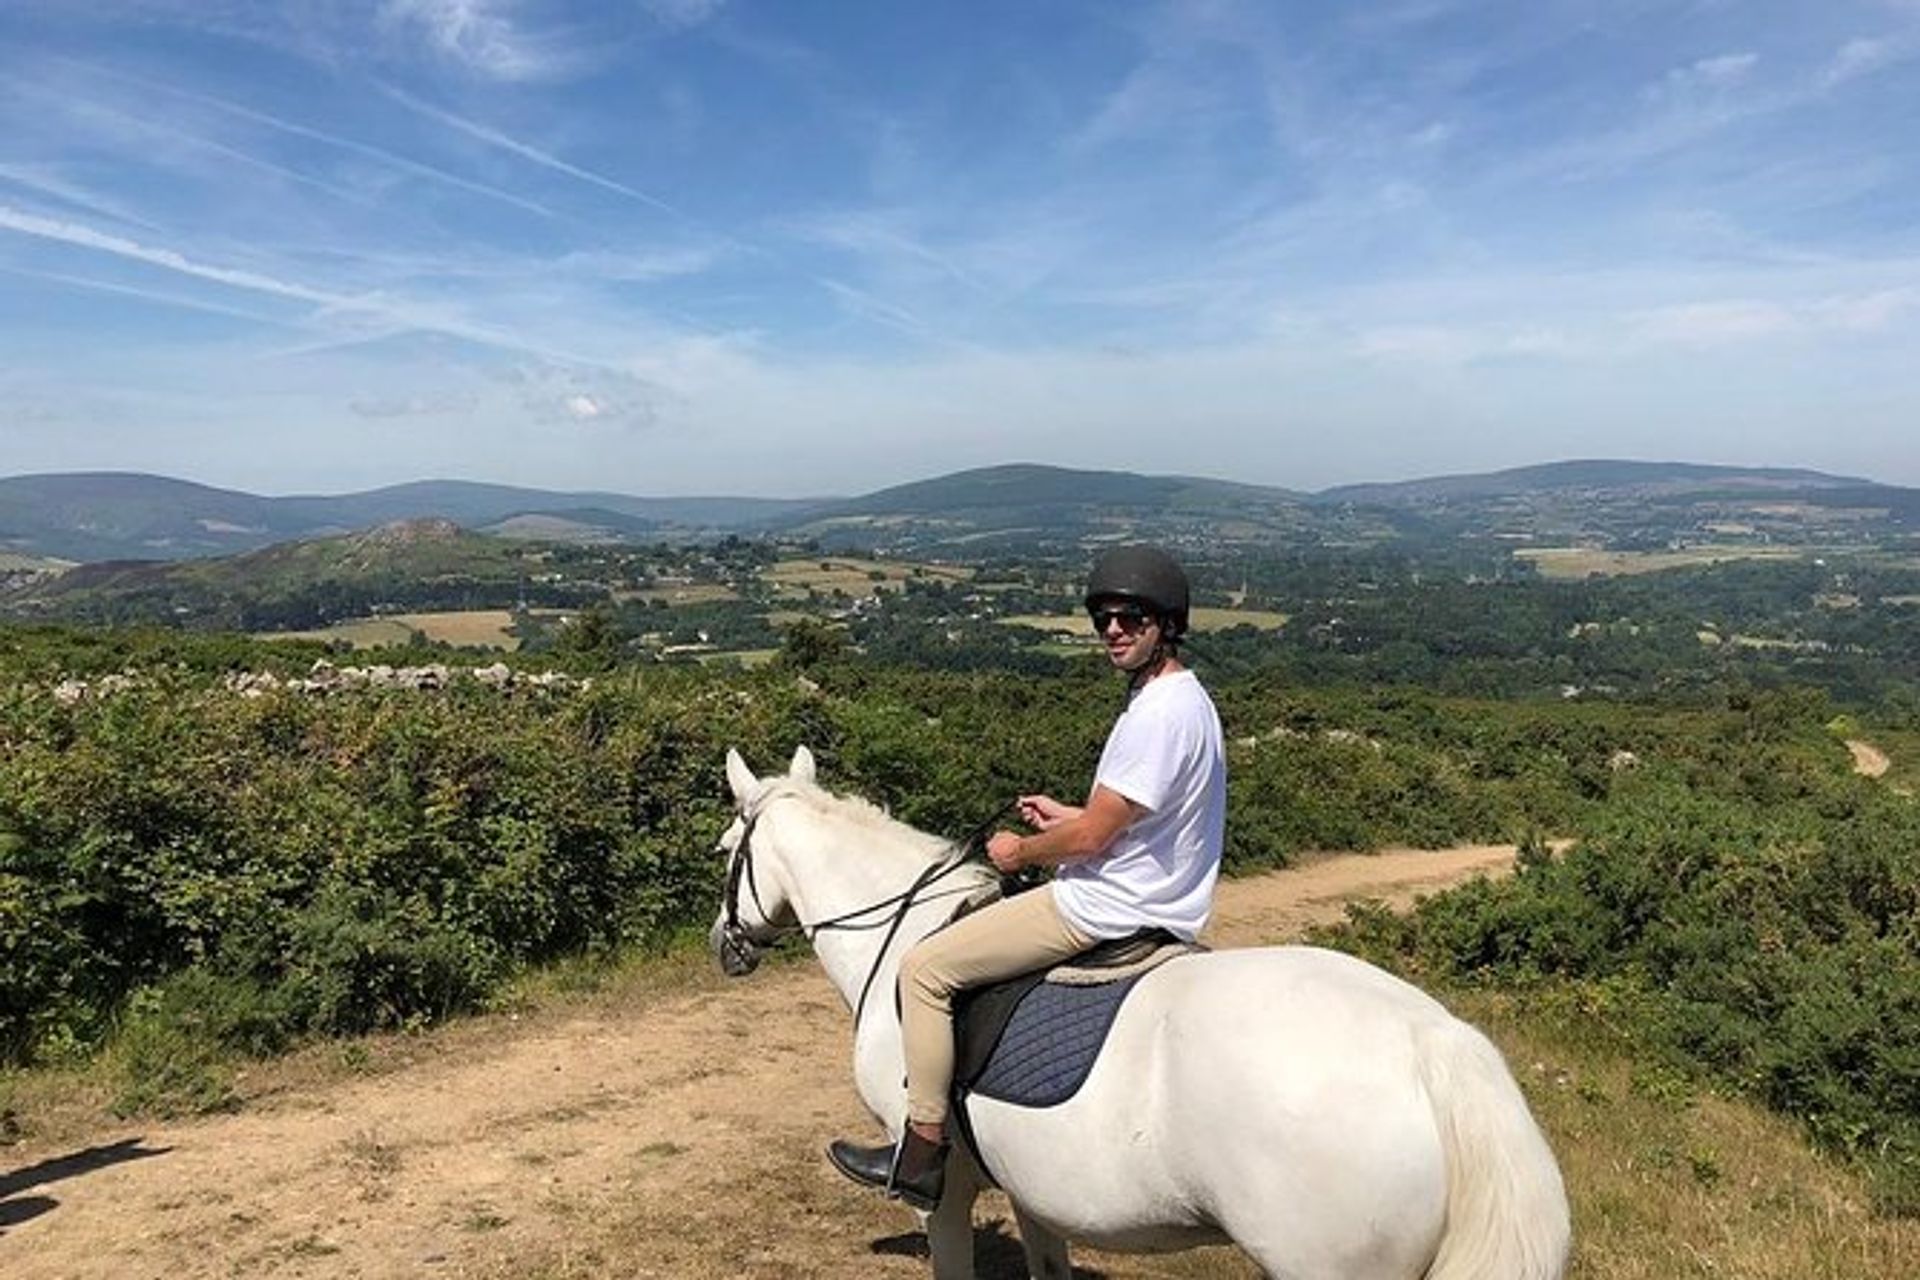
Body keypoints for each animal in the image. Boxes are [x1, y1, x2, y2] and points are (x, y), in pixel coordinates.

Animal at [714, 744, 1566, 1280]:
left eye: (725, 850)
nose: (725, 944)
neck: (905, 933)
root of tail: (1434, 1046)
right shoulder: (1030, 1185)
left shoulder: (943, 1188)